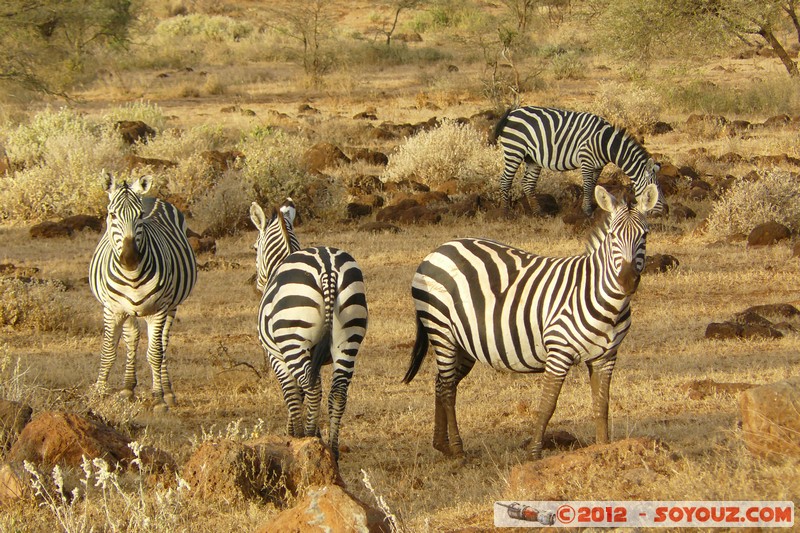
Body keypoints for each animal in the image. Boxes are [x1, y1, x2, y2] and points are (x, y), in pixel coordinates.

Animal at [89, 173, 197, 412]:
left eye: (139, 216)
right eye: (112, 215)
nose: (130, 259)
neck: (132, 277)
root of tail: (150, 197)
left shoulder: (158, 310)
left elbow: (155, 353)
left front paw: (158, 399)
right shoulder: (112, 309)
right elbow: (108, 350)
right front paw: (98, 393)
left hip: (171, 307)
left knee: (163, 344)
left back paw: (168, 392)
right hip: (128, 311)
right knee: (132, 339)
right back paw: (128, 388)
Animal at [250, 199, 368, 460]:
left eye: (254, 249)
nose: (257, 284)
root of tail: (328, 268)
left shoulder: (276, 357)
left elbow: (293, 395)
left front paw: (294, 435)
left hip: (293, 338)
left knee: (312, 388)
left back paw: (310, 437)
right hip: (349, 336)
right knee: (338, 392)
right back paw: (332, 450)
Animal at [403, 183, 659, 460]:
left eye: (645, 235)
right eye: (613, 236)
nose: (627, 280)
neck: (604, 302)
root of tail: (439, 249)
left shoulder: (606, 357)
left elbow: (601, 405)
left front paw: (603, 450)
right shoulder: (559, 351)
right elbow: (547, 405)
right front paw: (535, 453)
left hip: (464, 342)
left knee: (441, 382)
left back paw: (441, 445)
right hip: (442, 331)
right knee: (448, 388)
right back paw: (458, 450)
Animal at [492, 105, 664, 216]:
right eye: (653, 188)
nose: (664, 211)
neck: (605, 143)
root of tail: (512, 112)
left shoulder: (598, 166)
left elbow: (593, 185)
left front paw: (594, 206)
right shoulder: (586, 160)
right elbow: (587, 187)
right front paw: (587, 211)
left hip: (532, 158)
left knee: (528, 183)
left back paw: (538, 212)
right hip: (514, 150)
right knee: (505, 180)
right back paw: (505, 213)